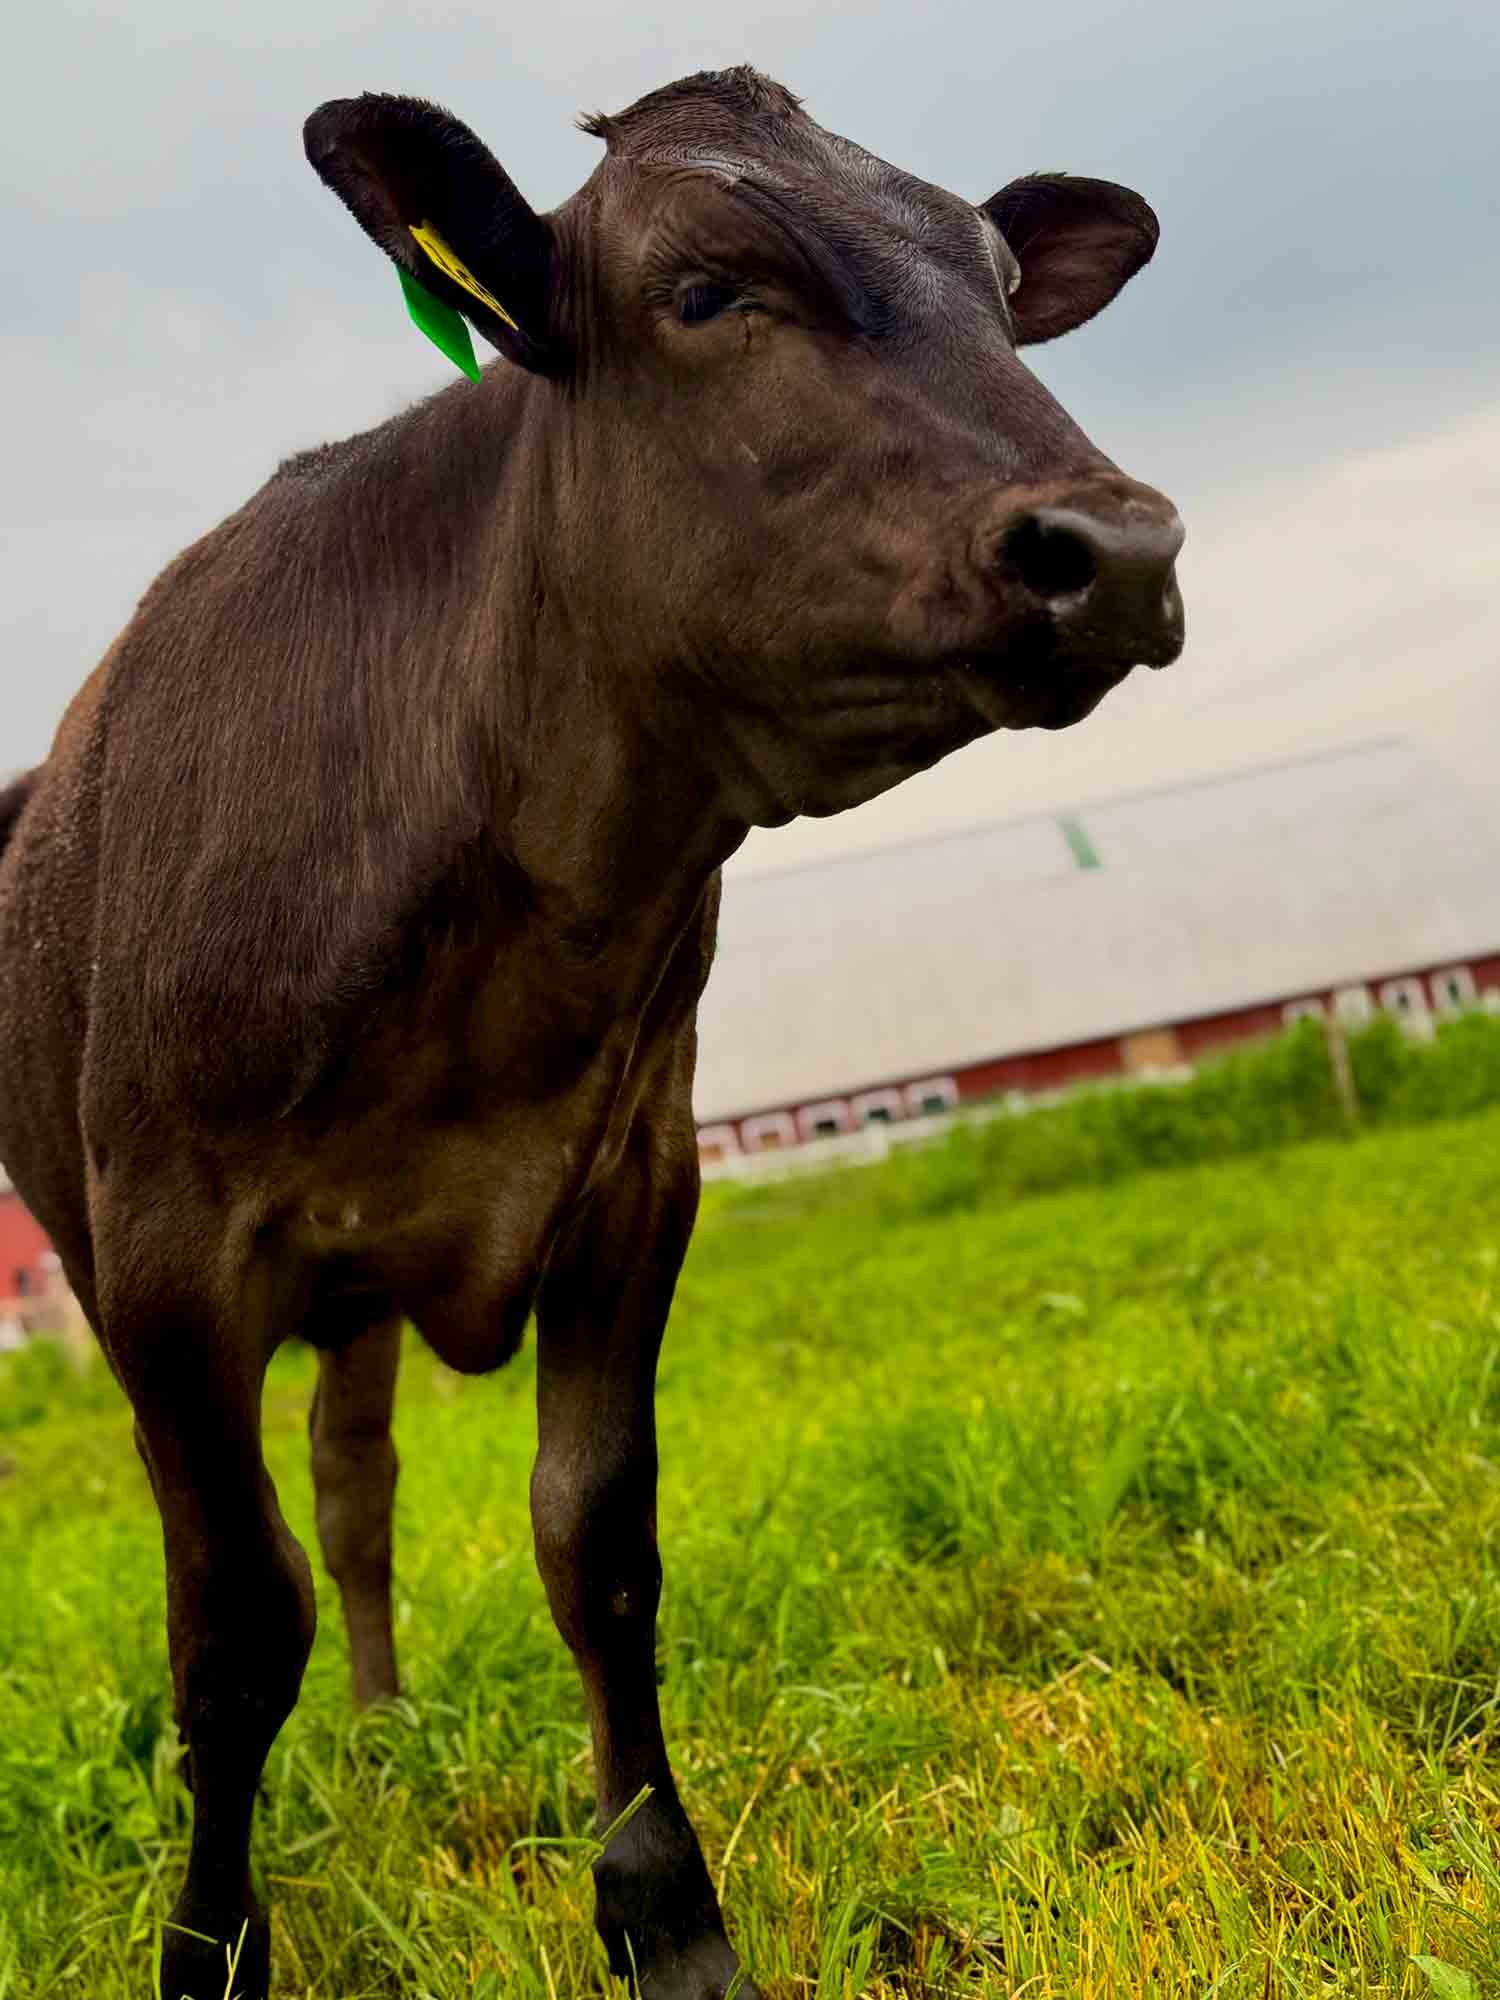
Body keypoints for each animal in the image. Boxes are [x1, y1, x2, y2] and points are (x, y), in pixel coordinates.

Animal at [0, 64, 1183, 2000]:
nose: (1122, 549)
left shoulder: (634, 1180)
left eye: (1006, 296)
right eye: (706, 291)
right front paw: (210, 1947)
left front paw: (663, 1907)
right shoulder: (169, 1253)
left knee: (358, 1485)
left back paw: (388, 1728)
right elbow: (232, 1618)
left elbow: (596, 1541)